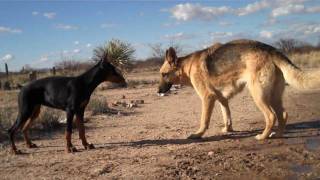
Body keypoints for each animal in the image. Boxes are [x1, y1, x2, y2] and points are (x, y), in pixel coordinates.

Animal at [158, 39, 320, 140]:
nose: (158, 91)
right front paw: (227, 130)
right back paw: (278, 134)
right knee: (283, 115)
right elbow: (227, 116)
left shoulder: (207, 98)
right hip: (273, 96)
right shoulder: (222, 99)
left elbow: (204, 120)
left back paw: (263, 136)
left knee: (271, 116)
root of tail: (270, 49)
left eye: (164, 74)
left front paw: (198, 135)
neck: (187, 66)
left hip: (258, 95)